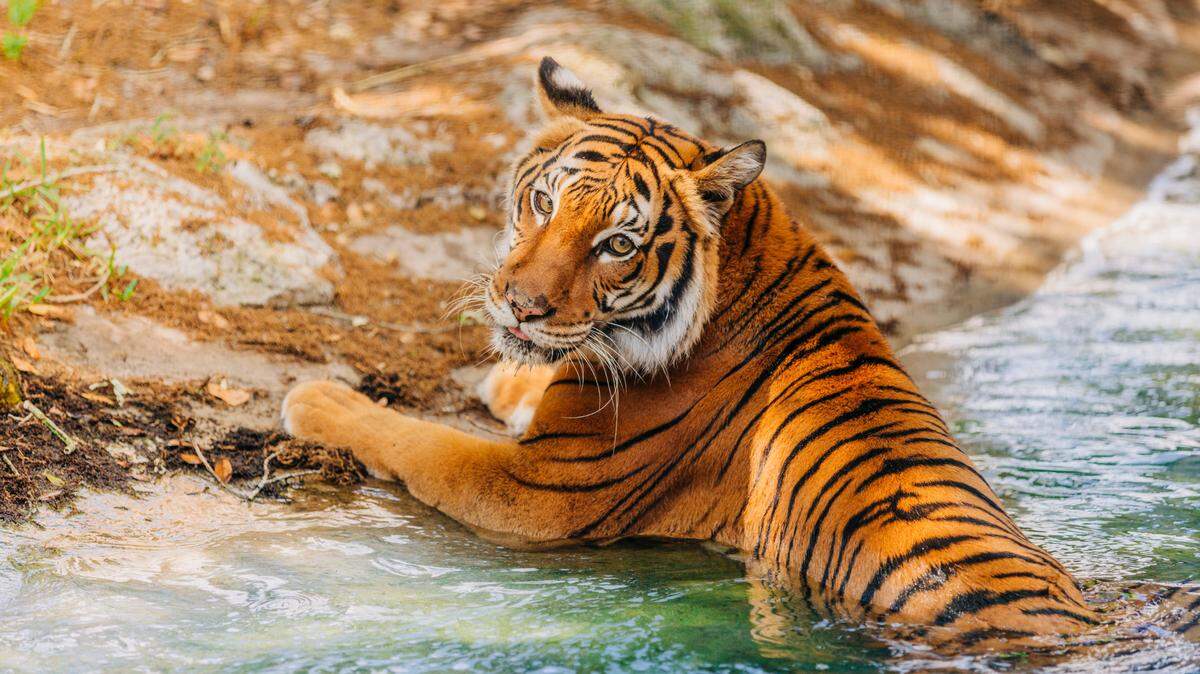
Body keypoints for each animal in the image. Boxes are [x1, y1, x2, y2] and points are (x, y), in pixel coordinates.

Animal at [282, 56, 1104, 642]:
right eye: (543, 203)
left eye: (617, 245)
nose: (518, 304)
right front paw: (506, 378)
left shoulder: (535, 491)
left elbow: (412, 438)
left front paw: (316, 397)